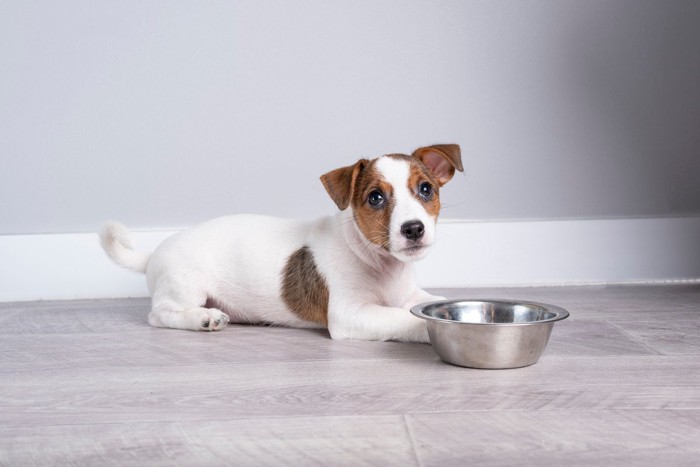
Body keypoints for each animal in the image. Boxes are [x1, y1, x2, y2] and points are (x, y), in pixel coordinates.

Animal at [98, 145, 460, 344]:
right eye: (375, 198)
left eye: (426, 189)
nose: (413, 229)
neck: (378, 262)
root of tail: (152, 254)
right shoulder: (349, 314)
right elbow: (404, 318)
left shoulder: (409, 295)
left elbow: (427, 301)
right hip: (185, 287)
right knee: (158, 314)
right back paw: (202, 319)